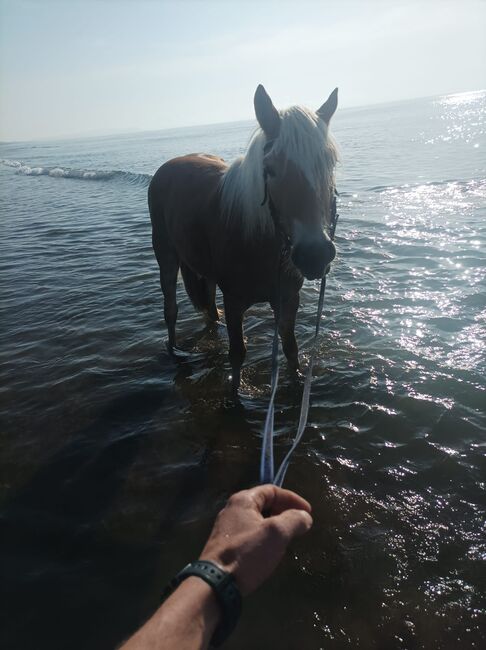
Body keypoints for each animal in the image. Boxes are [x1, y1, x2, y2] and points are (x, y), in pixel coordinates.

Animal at [148, 85, 338, 390]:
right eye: (270, 169)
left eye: (329, 164)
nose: (315, 255)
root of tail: (171, 165)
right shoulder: (234, 302)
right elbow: (237, 355)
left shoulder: (288, 299)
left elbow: (291, 348)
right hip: (165, 255)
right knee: (171, 309)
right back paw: (174, 349)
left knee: (209, 308)